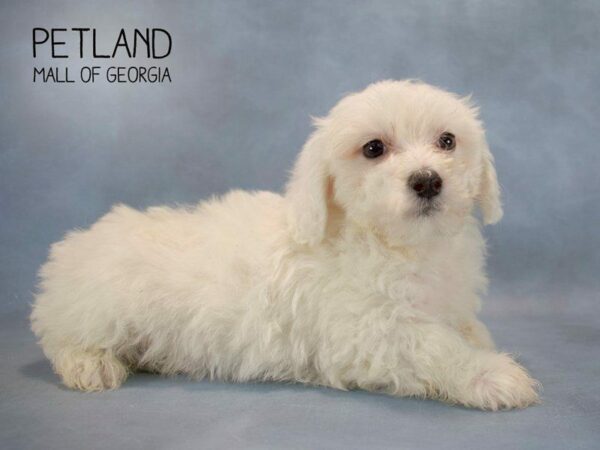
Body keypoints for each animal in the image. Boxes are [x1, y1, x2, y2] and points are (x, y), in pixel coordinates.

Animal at [31, 79, 540, 410]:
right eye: (373, 149)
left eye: (447, 141)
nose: (428, 180)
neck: (398, 245)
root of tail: (73, 246)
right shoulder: (370, 333)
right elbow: (436, 345)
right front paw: (489, 374)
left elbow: (465, 328)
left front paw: (483, 346)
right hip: (101, 306)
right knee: (60, 338)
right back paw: (91, 365)